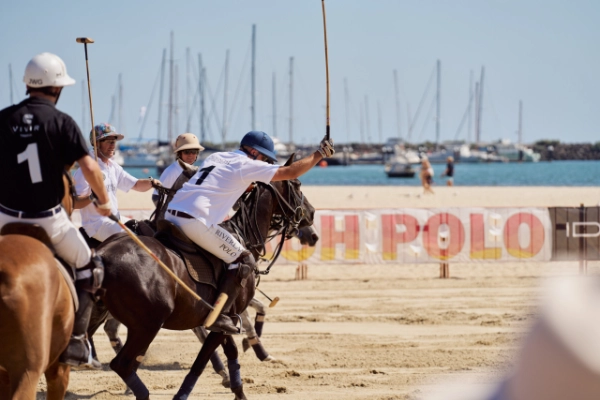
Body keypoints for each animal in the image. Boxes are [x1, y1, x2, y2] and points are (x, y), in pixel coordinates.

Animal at [95, 178, 314, 400]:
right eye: (298, 185)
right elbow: (201, 361)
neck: (244, 236)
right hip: (148, 323)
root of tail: (103, 253)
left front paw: (238, 388)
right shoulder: (225, 318)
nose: (311, 214)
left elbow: (231, 351)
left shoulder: (225, 322)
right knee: (122, 363)